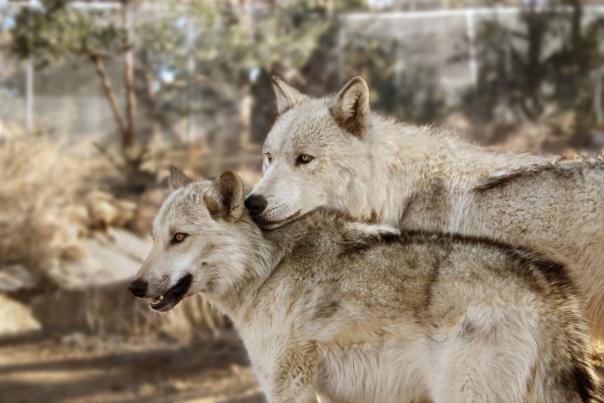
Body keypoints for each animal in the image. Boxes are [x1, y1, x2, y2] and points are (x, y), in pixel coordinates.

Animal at [129, 170, 600, 403]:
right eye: (154, 237)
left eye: (179, 237)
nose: (135, 286)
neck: (266, 268)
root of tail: (543, 281)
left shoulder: (287, 387)